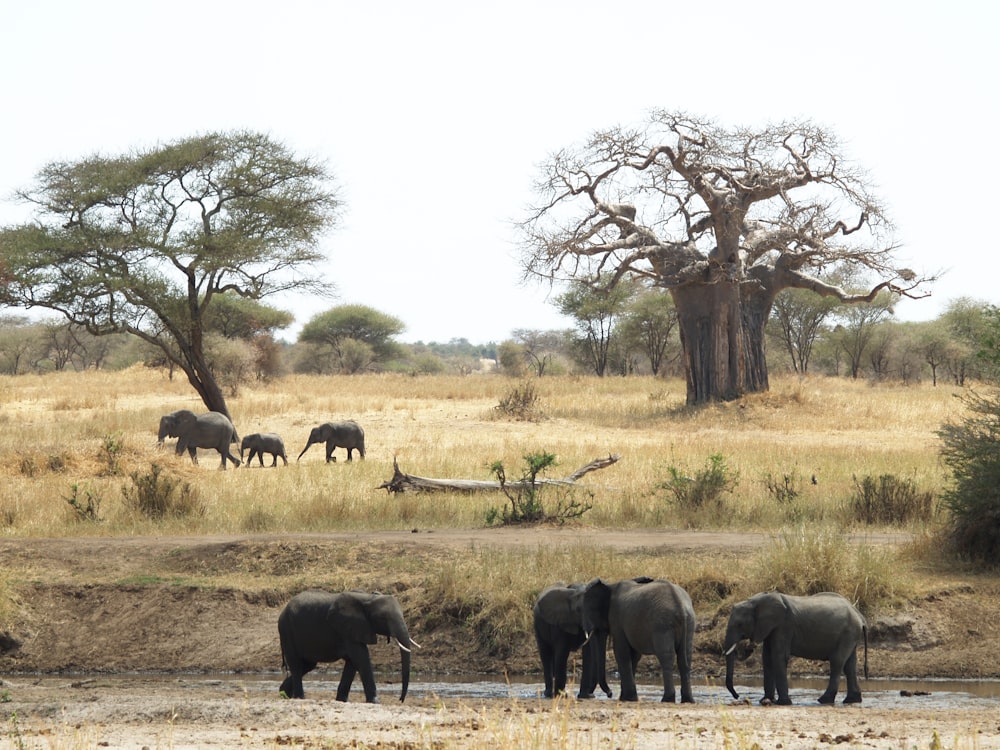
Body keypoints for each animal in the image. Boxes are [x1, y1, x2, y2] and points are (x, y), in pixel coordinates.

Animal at [276, 592, 420, 704]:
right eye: (383, 618)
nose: (400, 700)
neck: (369, 598)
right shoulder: (348, 629)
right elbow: (361, 657)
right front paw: (375, 701)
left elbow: (352, 662)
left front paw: (342, 700)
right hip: (286, 630)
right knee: (296, 664)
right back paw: (299, 697)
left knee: (307, 665)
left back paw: (284, 694)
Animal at [724, 592, 872, 704]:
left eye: (739, 624)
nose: (737, 696)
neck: (756, 601)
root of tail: (860, 615)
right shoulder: (770, 628)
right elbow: (767, 658)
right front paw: (765, 700)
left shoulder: (784, 625)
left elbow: (778, 656)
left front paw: (783, 703)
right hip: (850, 635)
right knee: (849, 665)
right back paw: (851, 700)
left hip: (848, 632)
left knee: (837, 662)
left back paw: (824, 700)